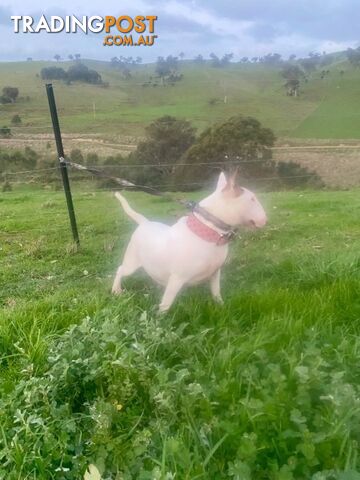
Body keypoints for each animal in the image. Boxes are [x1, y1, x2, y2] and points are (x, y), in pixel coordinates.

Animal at [112, 172, 268, 312]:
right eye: (252, 199)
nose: (266, 219)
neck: (209, 234)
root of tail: (145, 223)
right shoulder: (177, 278)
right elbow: (166, 302)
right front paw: (160, 319)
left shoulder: (215, 273)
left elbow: (216, 292)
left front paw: (221, 307)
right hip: (132, 261)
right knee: (120, 270)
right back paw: (116, 290)